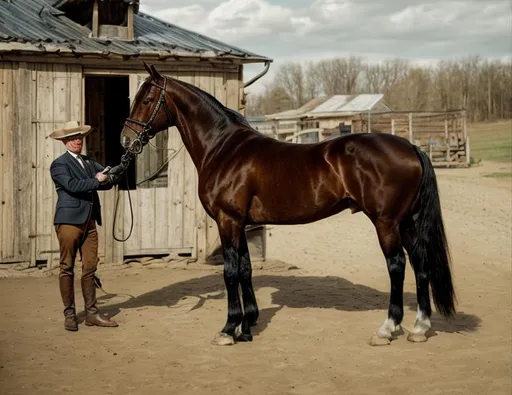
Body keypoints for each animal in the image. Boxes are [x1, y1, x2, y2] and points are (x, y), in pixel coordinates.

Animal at [120, 62, 456, 346]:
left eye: (147, 100)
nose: (126, 140)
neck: (224, 148)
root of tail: (410, 146)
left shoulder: (227, 221)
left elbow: (229, 272)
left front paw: (228, 329)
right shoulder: (240, 223)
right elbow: (245, 269)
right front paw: (247, 327)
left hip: (386, 223)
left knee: (397, 266)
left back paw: (387, 329)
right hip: (408, 222)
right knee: (421, 264)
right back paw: (419, 328)